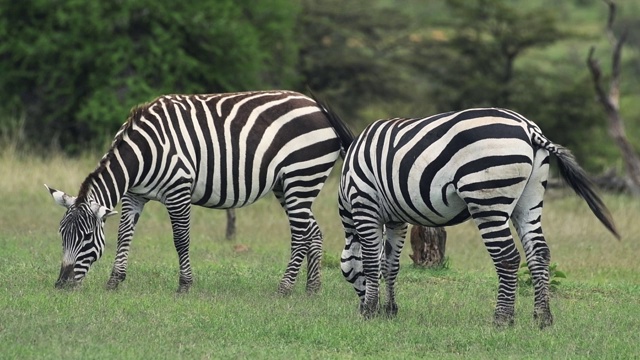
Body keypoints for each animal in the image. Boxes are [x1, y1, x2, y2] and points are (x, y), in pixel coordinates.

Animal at [47, 90, 352, 296]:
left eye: (87, 237)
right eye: (61, 234)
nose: (61, 285)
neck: (143, 154)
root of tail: (318, 108)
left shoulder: (178, 191)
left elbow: (181, 239)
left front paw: (184, 285)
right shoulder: (134, 195)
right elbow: (124, 235)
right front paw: (114, 280)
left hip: (302, 176)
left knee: (300, 235)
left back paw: (284, 288)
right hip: (288, 185)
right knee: (313, 232)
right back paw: (312, 288)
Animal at [336, 106, 620, 326]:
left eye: (346, 274)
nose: (360, 308)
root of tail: (529, 129)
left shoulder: (365, 205)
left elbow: (371, 262)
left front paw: (370, 311)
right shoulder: (396, 219)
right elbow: (389, 265)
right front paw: (389, 311)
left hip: (488, 200)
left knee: (508, 257)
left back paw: (502, 319)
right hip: (529, 201)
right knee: (539, 253)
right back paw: (543, 318)